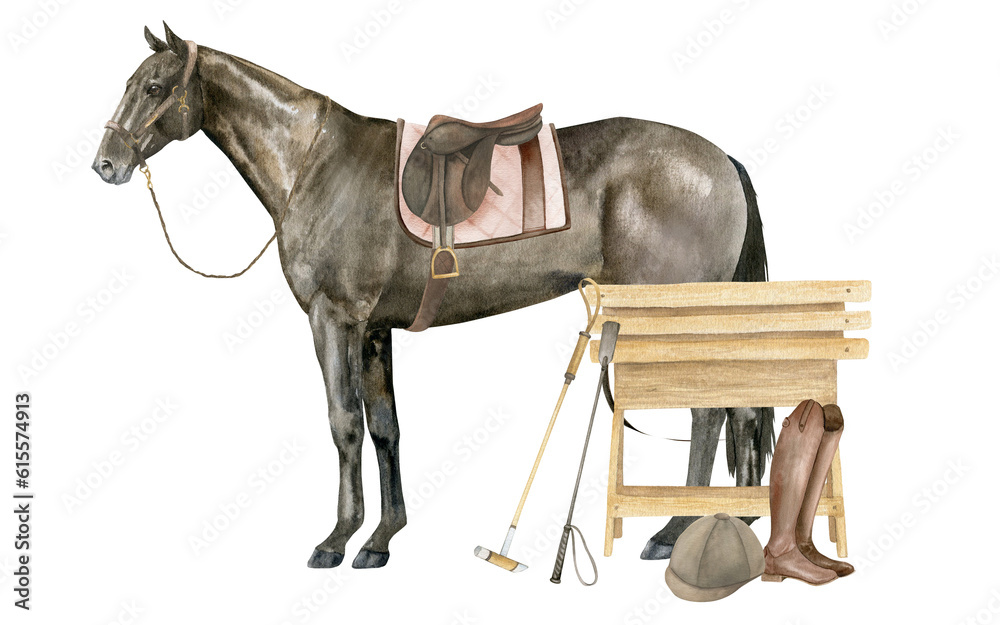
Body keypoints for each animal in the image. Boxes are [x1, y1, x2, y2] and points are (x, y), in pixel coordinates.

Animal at [92, 23, 773, 569]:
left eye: (154, 87)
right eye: (131, 83)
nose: (106, 164)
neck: (316, 164)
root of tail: (720, 159)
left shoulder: (333, 319)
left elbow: (344, 423)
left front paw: (336, 539)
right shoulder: (373, 328)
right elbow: (384, 426)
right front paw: (381, 538)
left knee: (708, 412)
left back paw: (675, 528)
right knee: (738, 410)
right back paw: (734, 517)